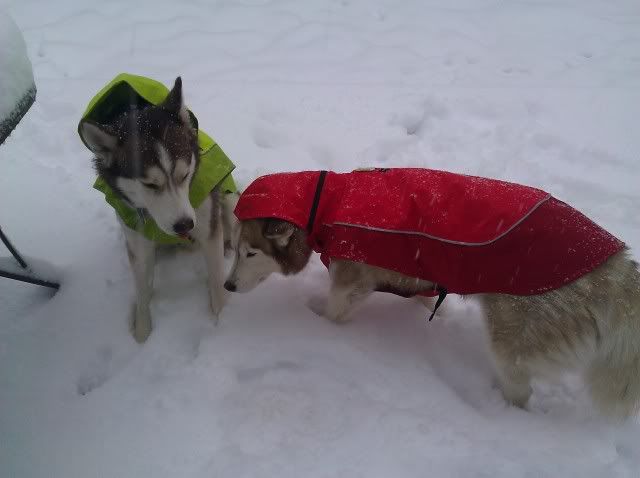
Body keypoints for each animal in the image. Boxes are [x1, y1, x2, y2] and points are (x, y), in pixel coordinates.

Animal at [79, 78, 236, 342]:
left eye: (184, 175)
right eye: (149, 184)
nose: (185, 224)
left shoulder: (208, 228)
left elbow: (216, 280)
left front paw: (223, 323)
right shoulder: (137, 238)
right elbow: (142, 291)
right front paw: (142, 333)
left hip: (230, 200)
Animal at [226, 218, 640, 420]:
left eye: (250, 253)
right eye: (233, 249)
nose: (227, 285)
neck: (326, 203)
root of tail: (617, 270)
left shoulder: (351, 281)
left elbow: (333, 312)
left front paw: (316, 327)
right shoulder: (419, 282)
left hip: (511, 340)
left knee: (519, 388)